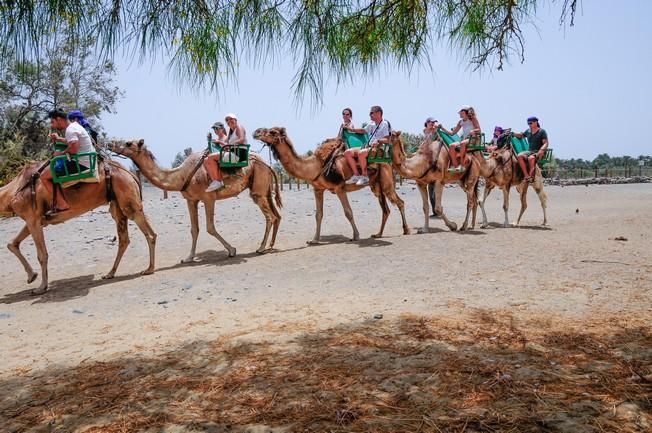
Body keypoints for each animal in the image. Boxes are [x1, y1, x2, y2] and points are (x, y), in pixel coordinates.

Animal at [0, 158, 158, 294]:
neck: (12, 191)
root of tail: (130, 173)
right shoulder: (36, 220)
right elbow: (11, 244)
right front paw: (32, 276)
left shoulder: (32, 217)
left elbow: (42, 255)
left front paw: (41, 287)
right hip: (116, 204)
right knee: (124, 239)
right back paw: (110, 273)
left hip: (127, 200)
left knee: (149, 233)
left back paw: (149, 269)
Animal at [108, 140, 282, 258]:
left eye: (128, 142)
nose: (110, 143)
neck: (182, 174)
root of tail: (268, 165)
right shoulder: (191, 200)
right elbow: (194, 229)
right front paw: (189, 257)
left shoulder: (208, 198)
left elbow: (210, 228)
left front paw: (232, 250)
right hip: (264, 189)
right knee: (276, 215)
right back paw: (270, 246)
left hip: (258, 188)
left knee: (270, 216)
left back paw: (261, 248)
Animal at [251, 127, 408, 243]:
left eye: (272, 131)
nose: (256, 132)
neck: (316, 165)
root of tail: (387, 160)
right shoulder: (317, 189)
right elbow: (318, 214)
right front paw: (314, 240)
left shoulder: (339, 188)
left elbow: (348, 212)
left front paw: (356, 236)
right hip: (376, 186)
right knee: (386, 209)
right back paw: (378, 234)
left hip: (386, 183)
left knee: (399, 202)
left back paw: (406, 230)